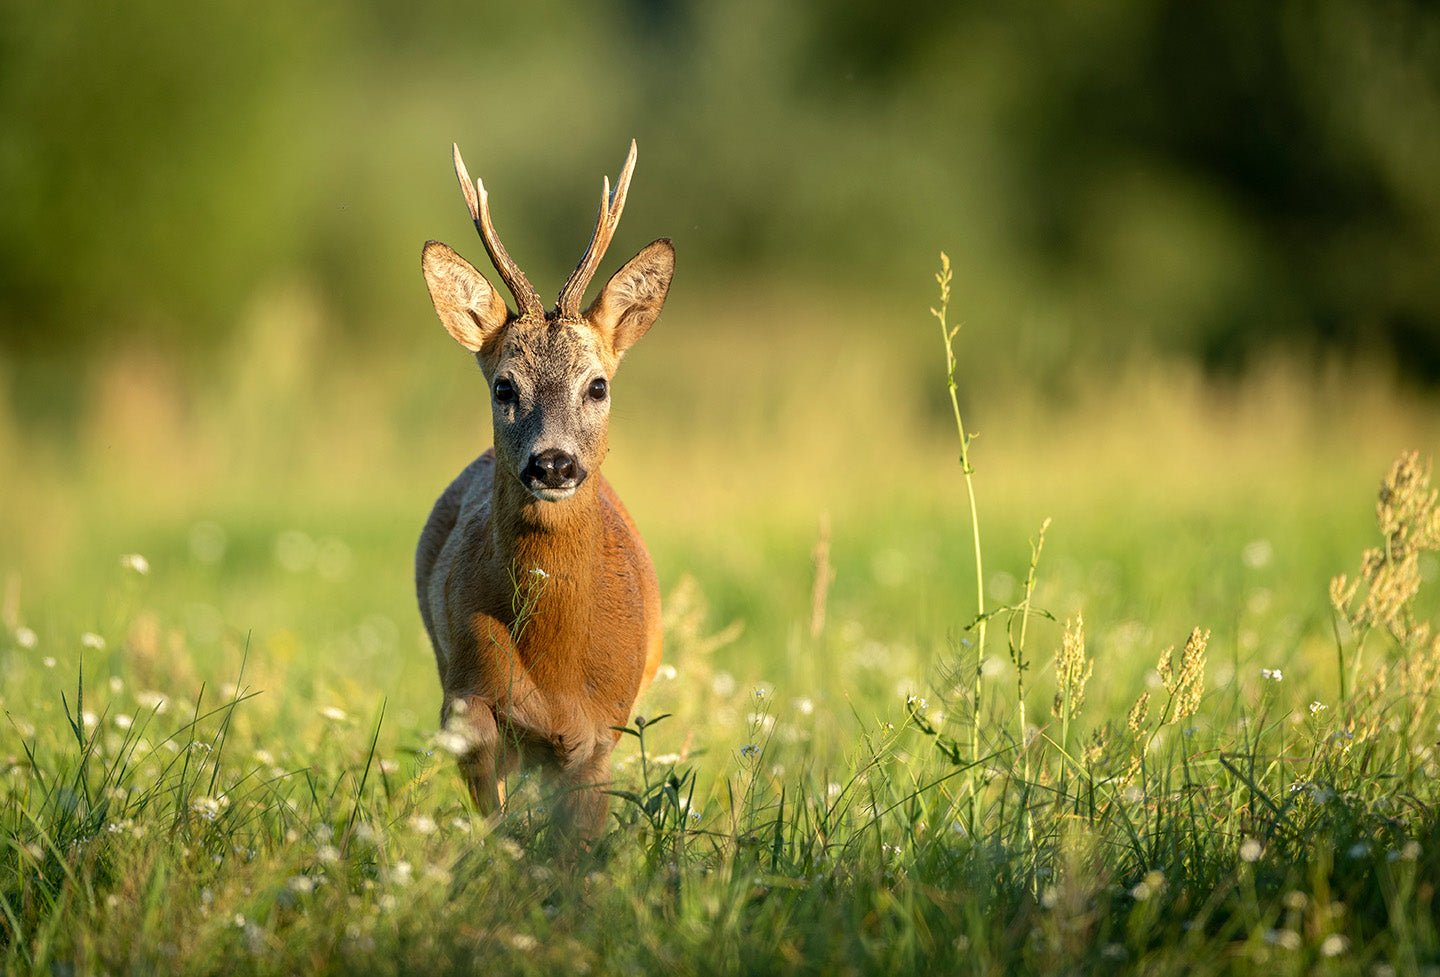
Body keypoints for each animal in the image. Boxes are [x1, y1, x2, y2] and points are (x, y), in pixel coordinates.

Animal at [411, 139, 668, 841]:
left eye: (597, 384)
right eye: (505, 386)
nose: (552, 464)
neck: (553, 664)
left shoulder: (600, 732)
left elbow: (576, 845)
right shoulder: (466, 690)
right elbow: (488, 785)